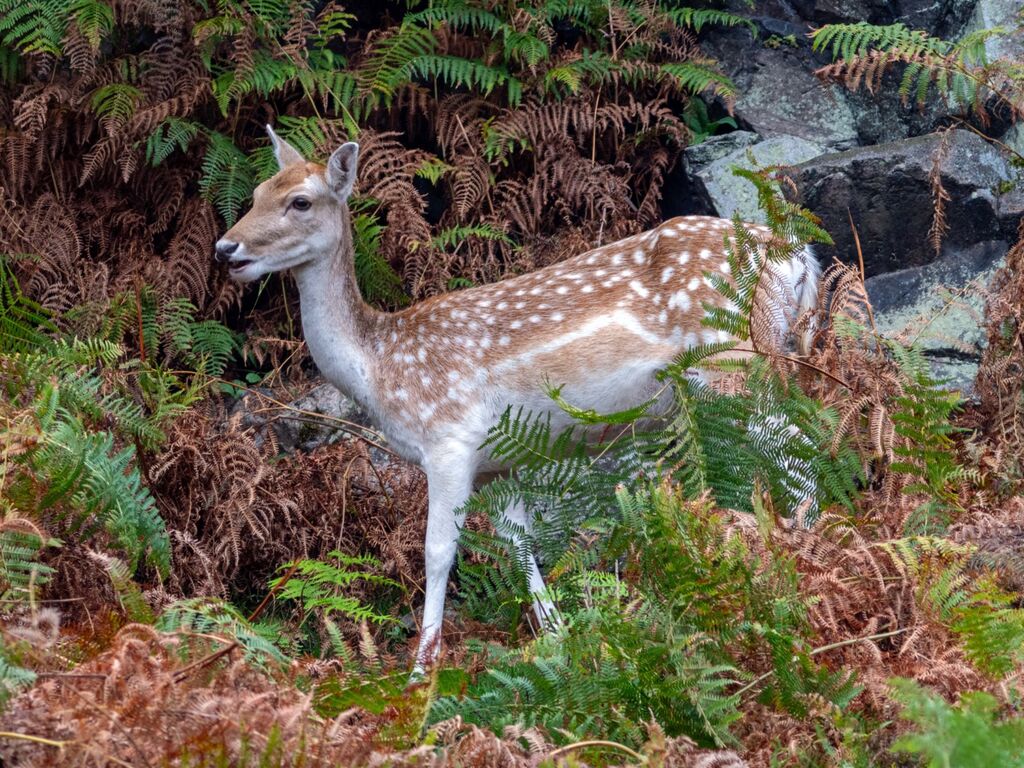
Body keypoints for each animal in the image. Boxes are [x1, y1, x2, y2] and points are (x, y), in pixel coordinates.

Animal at [215, 126, 821, 672]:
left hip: (734, 361)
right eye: (256, 193)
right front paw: (559, 639)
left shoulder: (450, 440)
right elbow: (519, 542)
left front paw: (421, 672)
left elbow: (438, 553)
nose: (227, 247)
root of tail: (795, 258)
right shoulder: (498, 462)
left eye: (300, 200)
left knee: (801, 448)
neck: (381, 367)